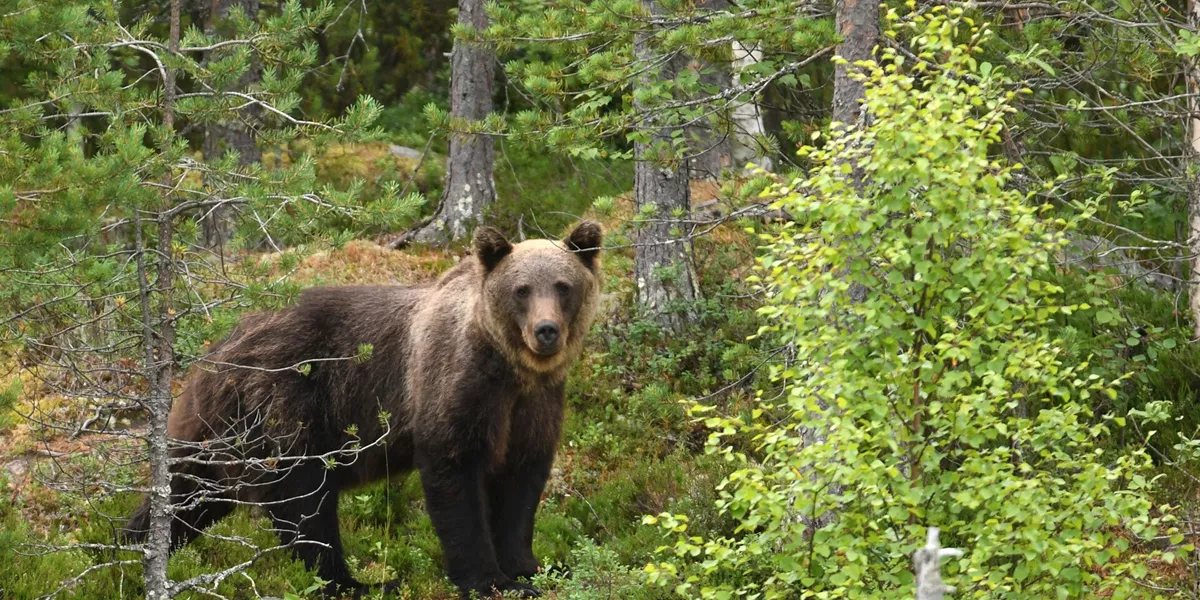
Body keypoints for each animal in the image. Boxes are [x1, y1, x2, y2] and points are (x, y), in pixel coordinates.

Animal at [123, 221, 604, 599]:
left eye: (563, 286)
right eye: (521, 290)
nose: (546, 331)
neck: (510, 368)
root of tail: (216, 349)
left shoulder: (533, 406)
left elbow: (521, 483)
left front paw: (531, 567)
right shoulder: (454, 385)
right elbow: (455, 475)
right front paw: (488, 579)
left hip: (221, 430)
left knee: (188, 491)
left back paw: (129, 550)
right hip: (287, 403)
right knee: (303, 501)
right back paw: (354, 583)